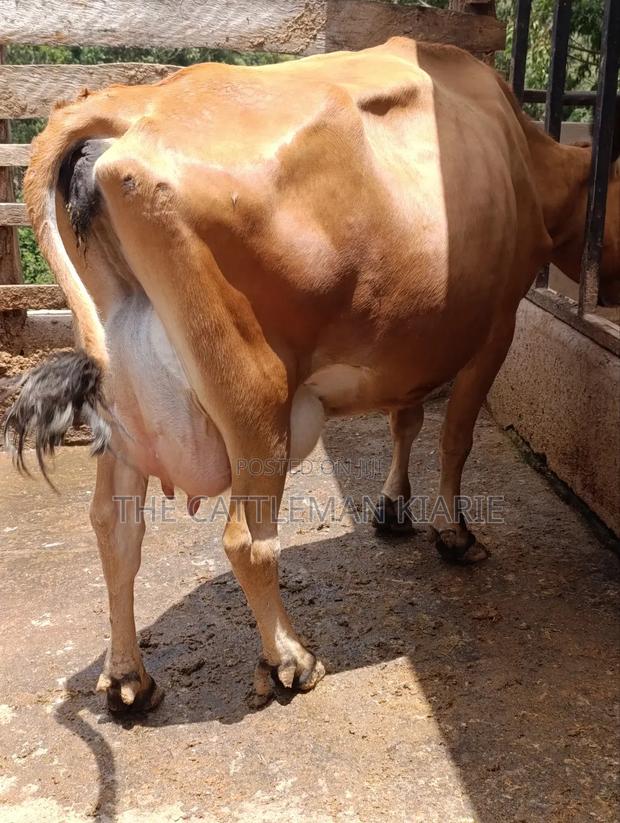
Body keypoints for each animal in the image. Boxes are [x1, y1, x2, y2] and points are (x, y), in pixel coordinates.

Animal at [4, 38, 619, 713]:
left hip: (126, 405)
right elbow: (456, 437)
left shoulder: (408, 343)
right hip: (255, 394)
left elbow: (406, 419)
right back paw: (289, 660)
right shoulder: (497, 326)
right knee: (246, 540)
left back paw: (129, 679)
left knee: (116, 530)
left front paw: (393, 509)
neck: (522, 153)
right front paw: (454, 535)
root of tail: (126, 107)